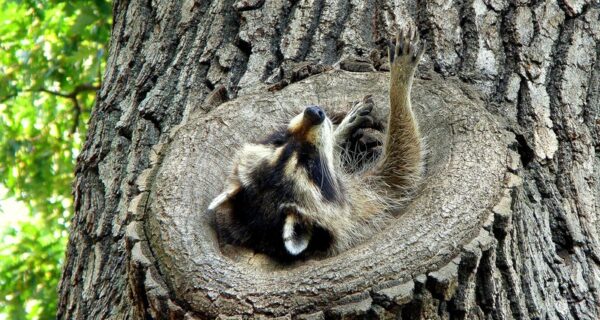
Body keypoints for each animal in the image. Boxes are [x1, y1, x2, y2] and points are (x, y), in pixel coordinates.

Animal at [209, 28, 424, 262]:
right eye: (310, 165)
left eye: (278, 142)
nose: (314, 113)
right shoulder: (364, 203)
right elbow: (404, 161)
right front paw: (399, 83)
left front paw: (339, 131)